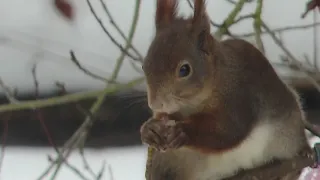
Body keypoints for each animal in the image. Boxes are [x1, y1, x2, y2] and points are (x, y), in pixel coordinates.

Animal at [139, 0, 310, 180]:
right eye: (144, 66)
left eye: (184, 70)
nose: (155, 104)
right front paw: (149, 130)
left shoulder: (240, 95)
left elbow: (229, 130)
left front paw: (183, 132)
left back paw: (305, 152)